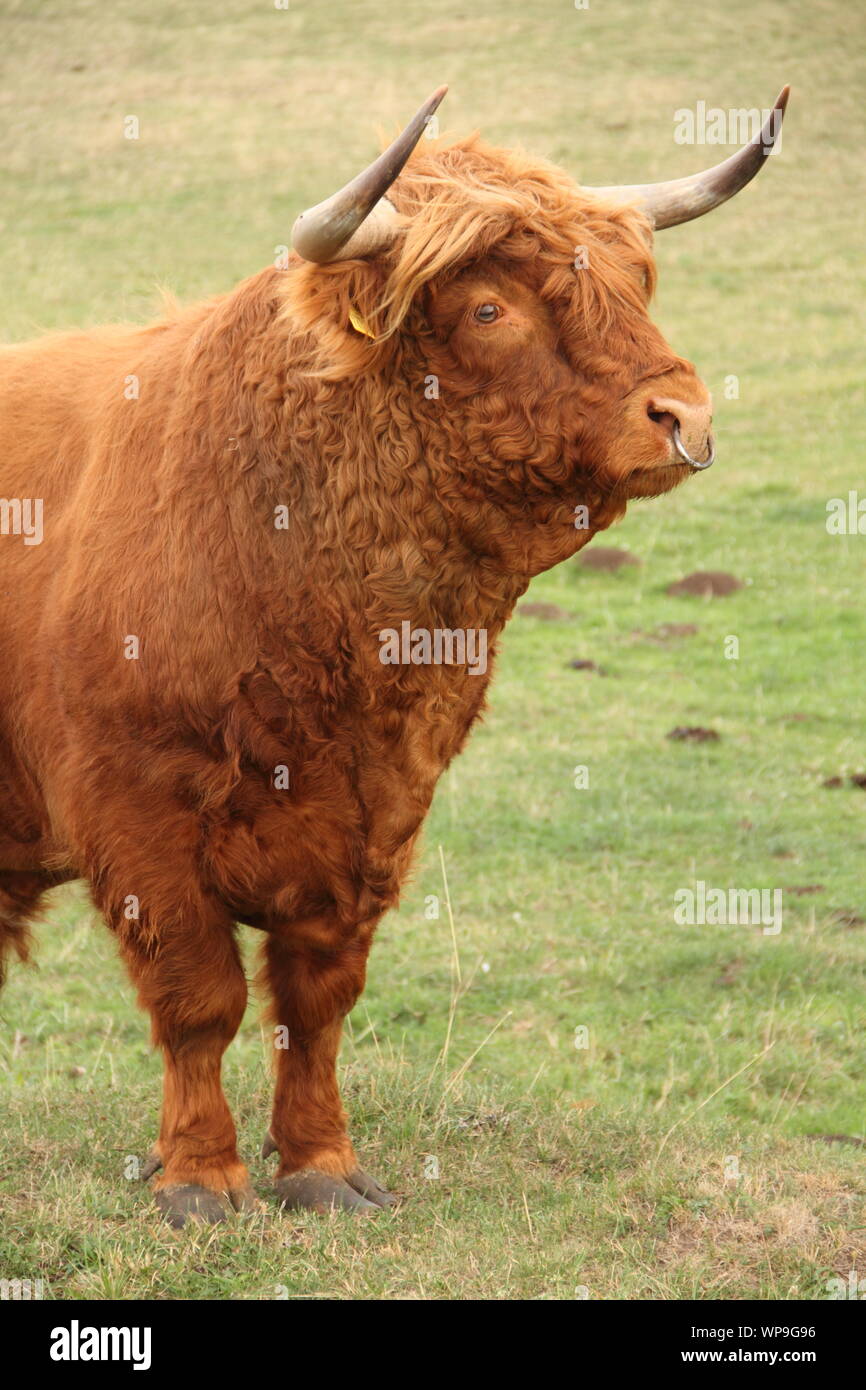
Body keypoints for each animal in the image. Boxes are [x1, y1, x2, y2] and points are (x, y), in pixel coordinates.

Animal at [0, 85, 788, 1224]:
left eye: (633, 281)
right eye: (489, 309)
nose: (684, 414)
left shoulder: (379, 815)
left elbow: (317, 1001)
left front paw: (322, 1167)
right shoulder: (137, 812)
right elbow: (199, 998)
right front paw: (198, 1176)